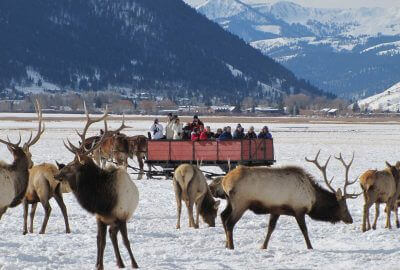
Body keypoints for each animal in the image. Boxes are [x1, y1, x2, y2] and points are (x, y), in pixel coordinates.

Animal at [54, 105, 140, 270]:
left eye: (72, 165)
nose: (56, 175)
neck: (103, 201)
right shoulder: (100, 218)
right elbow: (100, 241)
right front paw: (98, 264)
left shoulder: (121, 216)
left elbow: (126, 241)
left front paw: (135, 263)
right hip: (110, 222)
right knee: (111, 236)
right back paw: (119, 262)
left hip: (116, 220)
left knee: (114, 236)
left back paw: (121, 262)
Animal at [220, 151, 360, 250]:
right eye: (344, 207)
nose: (350, 219)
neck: (313, 198)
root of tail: (225, 181)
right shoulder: (299, 209)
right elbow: (304, 230)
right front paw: (310, 247)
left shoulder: (276, 209)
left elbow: (270, 228)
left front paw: (263, 246)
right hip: (241, 203)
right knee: (229, 222)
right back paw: (231, 246)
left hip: (229, 201)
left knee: (222, 215)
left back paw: (226, 244)